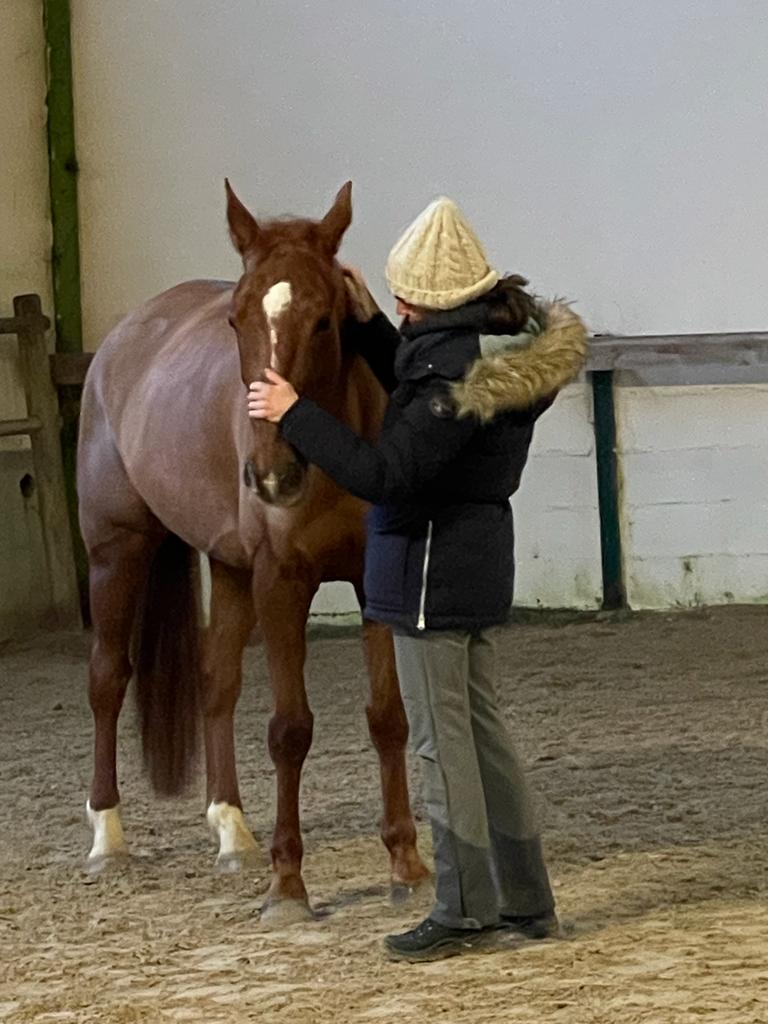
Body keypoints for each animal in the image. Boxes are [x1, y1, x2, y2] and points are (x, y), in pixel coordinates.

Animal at [77, 181, 430, 923]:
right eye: (236, 321)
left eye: (325, 320)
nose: (270, 476)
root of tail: (126, 335)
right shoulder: (280, 581)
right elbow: (290, 730)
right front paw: (288, 884)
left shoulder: (369, 581)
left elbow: (387, 718)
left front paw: (406, 863)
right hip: (117, 552)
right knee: (107, 678)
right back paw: (107, 838)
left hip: (228, 566)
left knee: (217, 681)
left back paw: (232, 829)